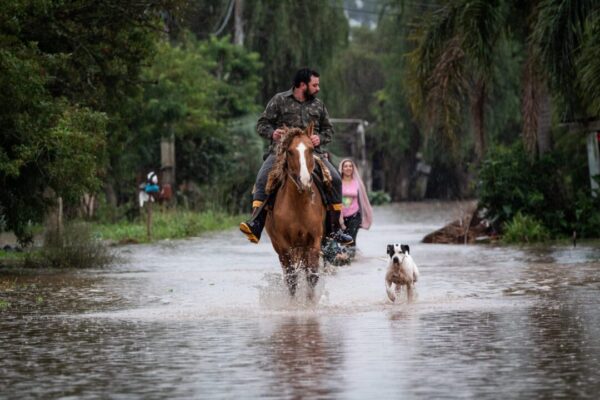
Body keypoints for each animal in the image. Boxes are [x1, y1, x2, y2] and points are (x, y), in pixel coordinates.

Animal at [264, 125, 326, 300]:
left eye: (311, 149)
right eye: (290, 151)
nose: (304, 180)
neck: (299, 205)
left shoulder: (314, 240)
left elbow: (312, 275)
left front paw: (310, 302)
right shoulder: (284, 244)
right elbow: (291, 278)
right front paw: (293, 304)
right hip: (280, 247)